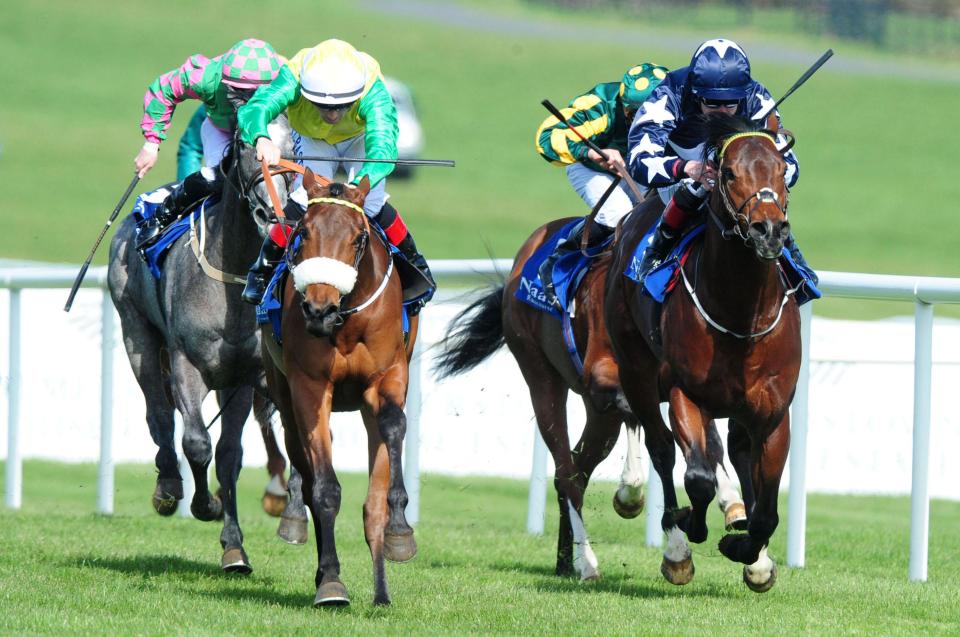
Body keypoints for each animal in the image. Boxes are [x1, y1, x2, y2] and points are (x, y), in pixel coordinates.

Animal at [111, 117, 310, 572]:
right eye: (245, 145)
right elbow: (196, 444)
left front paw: (280, 521)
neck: (234, 271)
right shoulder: (186, 362)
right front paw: (203, 505)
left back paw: (235, 546)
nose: (273, 213)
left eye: (296, 147)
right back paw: (168, 486)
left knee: (229, 452)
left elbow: (238, 451)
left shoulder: (251, 373)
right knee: (159, 416)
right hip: (136, 331)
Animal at [258, 169, 416, 608]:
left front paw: (398, 534)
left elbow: (393, 430)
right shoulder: (310, 388)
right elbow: (325, 490)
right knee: (304, 470)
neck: (346, 322)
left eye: (359, 238)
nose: (318, 309)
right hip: (285, 396)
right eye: (302, 233)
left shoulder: (389, 376)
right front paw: (331, 583)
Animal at [432, 216, 748, 580]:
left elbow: (709, 443)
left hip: (597, 415)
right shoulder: (605, 379)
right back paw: (586, 561)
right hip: (541, 378)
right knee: (566, 473)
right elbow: (648, 427)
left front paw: (734, 507)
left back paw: (565, 559)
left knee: (577, 470)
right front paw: (632, 493)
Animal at [608, 113, 804, 592]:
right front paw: (689, 526)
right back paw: (675, 546)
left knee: (736, 451)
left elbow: (767, 508)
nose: (768, 231)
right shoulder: (686, 393)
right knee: (661, 448)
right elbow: (696, 476)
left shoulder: (774, 412)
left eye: (781, 170)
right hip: (636, 370)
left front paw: (748, 551)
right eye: (728, 172)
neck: (741, 314)